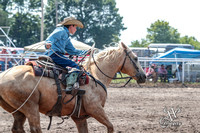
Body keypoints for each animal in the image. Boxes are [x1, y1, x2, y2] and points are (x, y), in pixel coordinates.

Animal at [0, 42, 145, 132]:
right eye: (136, 58)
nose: (144, 76)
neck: (95, 75)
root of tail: (3, 75)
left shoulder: (79, 118)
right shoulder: (95, 109)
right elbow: (110, 127)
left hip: (18, 111)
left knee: (17, 128)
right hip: (31, 108)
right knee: (35, 128)